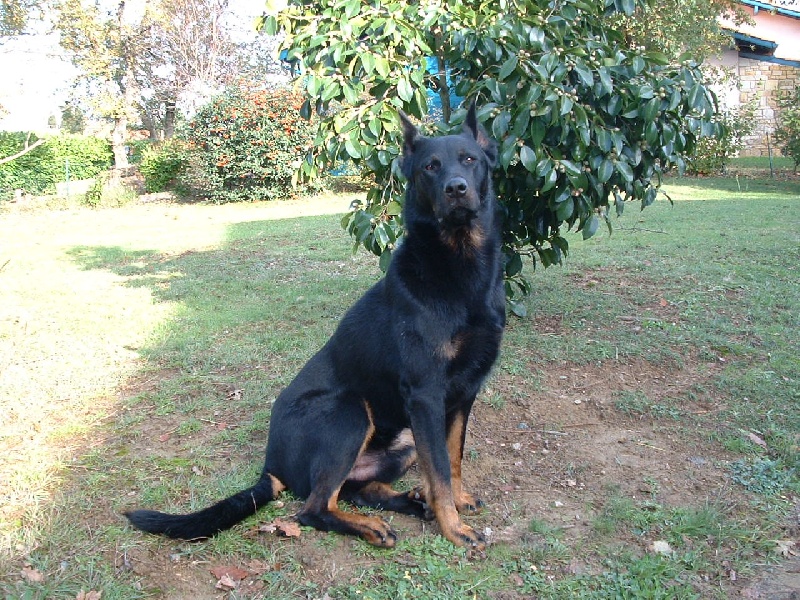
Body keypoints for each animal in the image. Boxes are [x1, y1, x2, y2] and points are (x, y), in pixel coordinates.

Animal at [128, 102, 510, 548]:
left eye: (470, 160)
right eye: (430, 167)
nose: (456, 189)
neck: (457, 265)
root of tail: (271, 466)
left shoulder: (464, 394)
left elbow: (453, 459)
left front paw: (457, 504)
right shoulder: (426, 395)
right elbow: (442, 473)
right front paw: (454, 529)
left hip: (403, 439)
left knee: (357, 490)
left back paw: (411, 503)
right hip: (351, 413)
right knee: (314, 508)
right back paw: (374, 524)